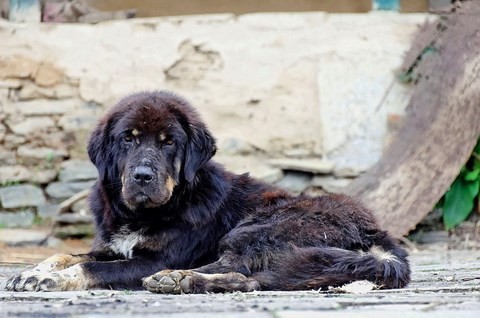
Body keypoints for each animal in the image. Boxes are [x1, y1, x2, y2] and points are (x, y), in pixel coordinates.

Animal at [4, 90, 408, 292]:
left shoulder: (155, 258)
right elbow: (67, 254)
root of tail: (377, 230)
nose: (142, 176)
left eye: (168, 142)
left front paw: (52, 279)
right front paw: (34, 271)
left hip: (259, 229)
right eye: (127, 139)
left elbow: (89, 267)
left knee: (237, 268)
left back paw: (179, 279)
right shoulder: (113, 247)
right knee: (254, 280)